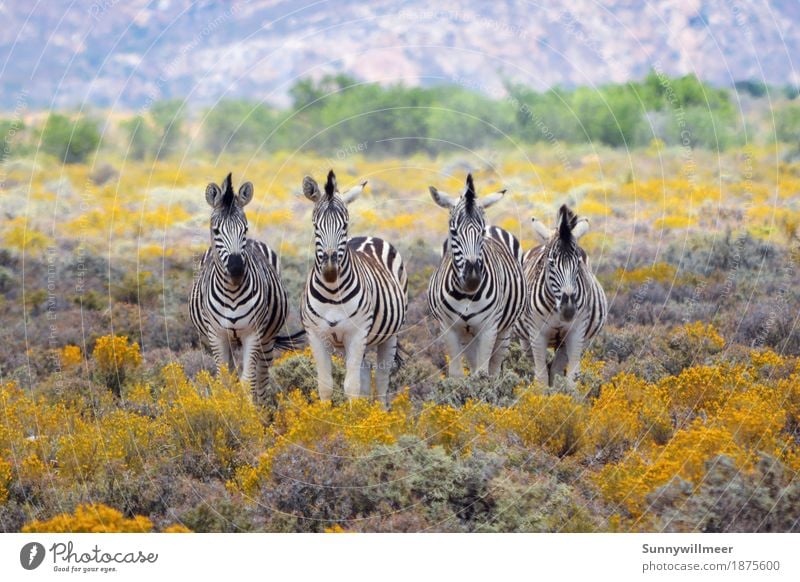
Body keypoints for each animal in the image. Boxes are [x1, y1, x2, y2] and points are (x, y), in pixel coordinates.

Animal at [188, 173, 304, 406]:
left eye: (245, 228)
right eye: (216, 230)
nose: (236, 269)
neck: (232, 292)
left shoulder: (253, 334)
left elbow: (247, 381)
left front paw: (248, 412)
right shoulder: (217, 335)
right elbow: (226, 380)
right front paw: (230, 408)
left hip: (267, 339)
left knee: (262, 377)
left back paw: (262, 408)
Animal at [304, 171, 410, 404]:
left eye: (344, 225)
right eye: (315, 225)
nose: (330, 269)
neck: (332, 292)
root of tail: (368, 237)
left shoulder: (357, 333)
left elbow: (351, 386)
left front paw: (353, 415)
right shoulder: (316, 336)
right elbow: (325, 386)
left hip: (389, 335)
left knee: (381, 380)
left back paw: (379, 412)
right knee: (365, 373)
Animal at [424, 173, 524, 378]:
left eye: (481, 231)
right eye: (453, 231)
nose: (472, 279)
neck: (466, 295)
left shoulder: (489, 328)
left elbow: (483, 373)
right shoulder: (448, 329)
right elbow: (457, 374)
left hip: (505, 329)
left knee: (494, 366)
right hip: (467, 334)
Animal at [520, 203, 608, 390]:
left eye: (578, 262)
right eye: (551, 262)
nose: (568, 310)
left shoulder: (576, 332)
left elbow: (571, 378)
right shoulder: (536, 334)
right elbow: (541, 378)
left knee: (556, 369)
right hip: (525, 338)